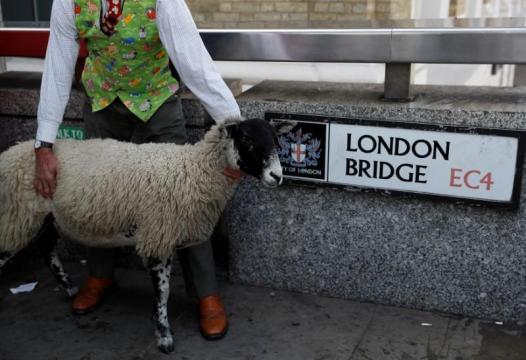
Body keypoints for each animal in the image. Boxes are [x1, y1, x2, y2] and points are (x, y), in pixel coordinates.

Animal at [0, 118, 284, 352]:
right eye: (246, 139)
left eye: (275, 140)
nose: (277, 176)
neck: (194, 170)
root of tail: (11, 151)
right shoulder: (157, 234)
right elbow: (163, 291)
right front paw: (164, 335)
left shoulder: (165, 233)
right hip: (16, 214)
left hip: (46, 217)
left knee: (46, 247)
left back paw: (69, 287)